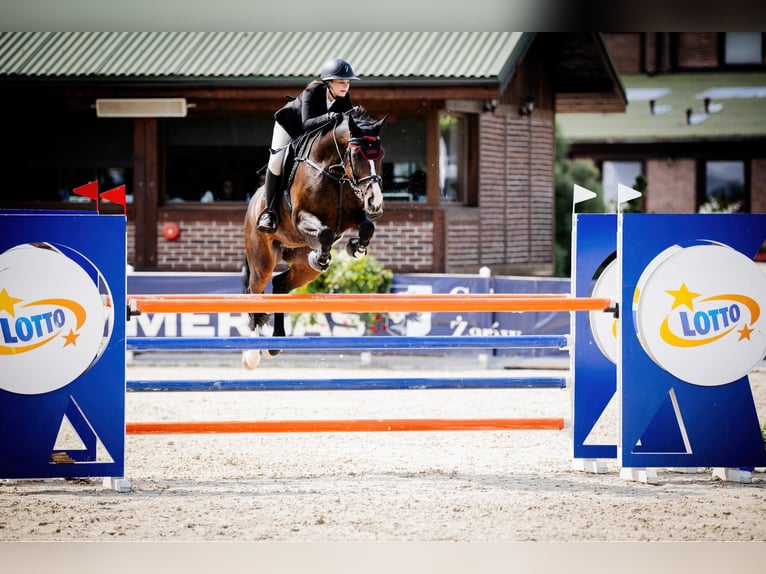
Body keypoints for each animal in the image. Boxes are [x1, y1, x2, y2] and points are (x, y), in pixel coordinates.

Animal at [241, 107, 387, 369]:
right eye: (356, 154)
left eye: (380, 155)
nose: (376, 202)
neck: (334, 171)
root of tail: (253, 204)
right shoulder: (301, 218)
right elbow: (324, 232)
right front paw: (322, 255)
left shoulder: (353, 216)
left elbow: (367, 227)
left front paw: (355, 248)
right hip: (262, 261)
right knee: (254, 293)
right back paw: (252, 352)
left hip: (302, 267)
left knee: (280, 284)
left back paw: (276, 343)